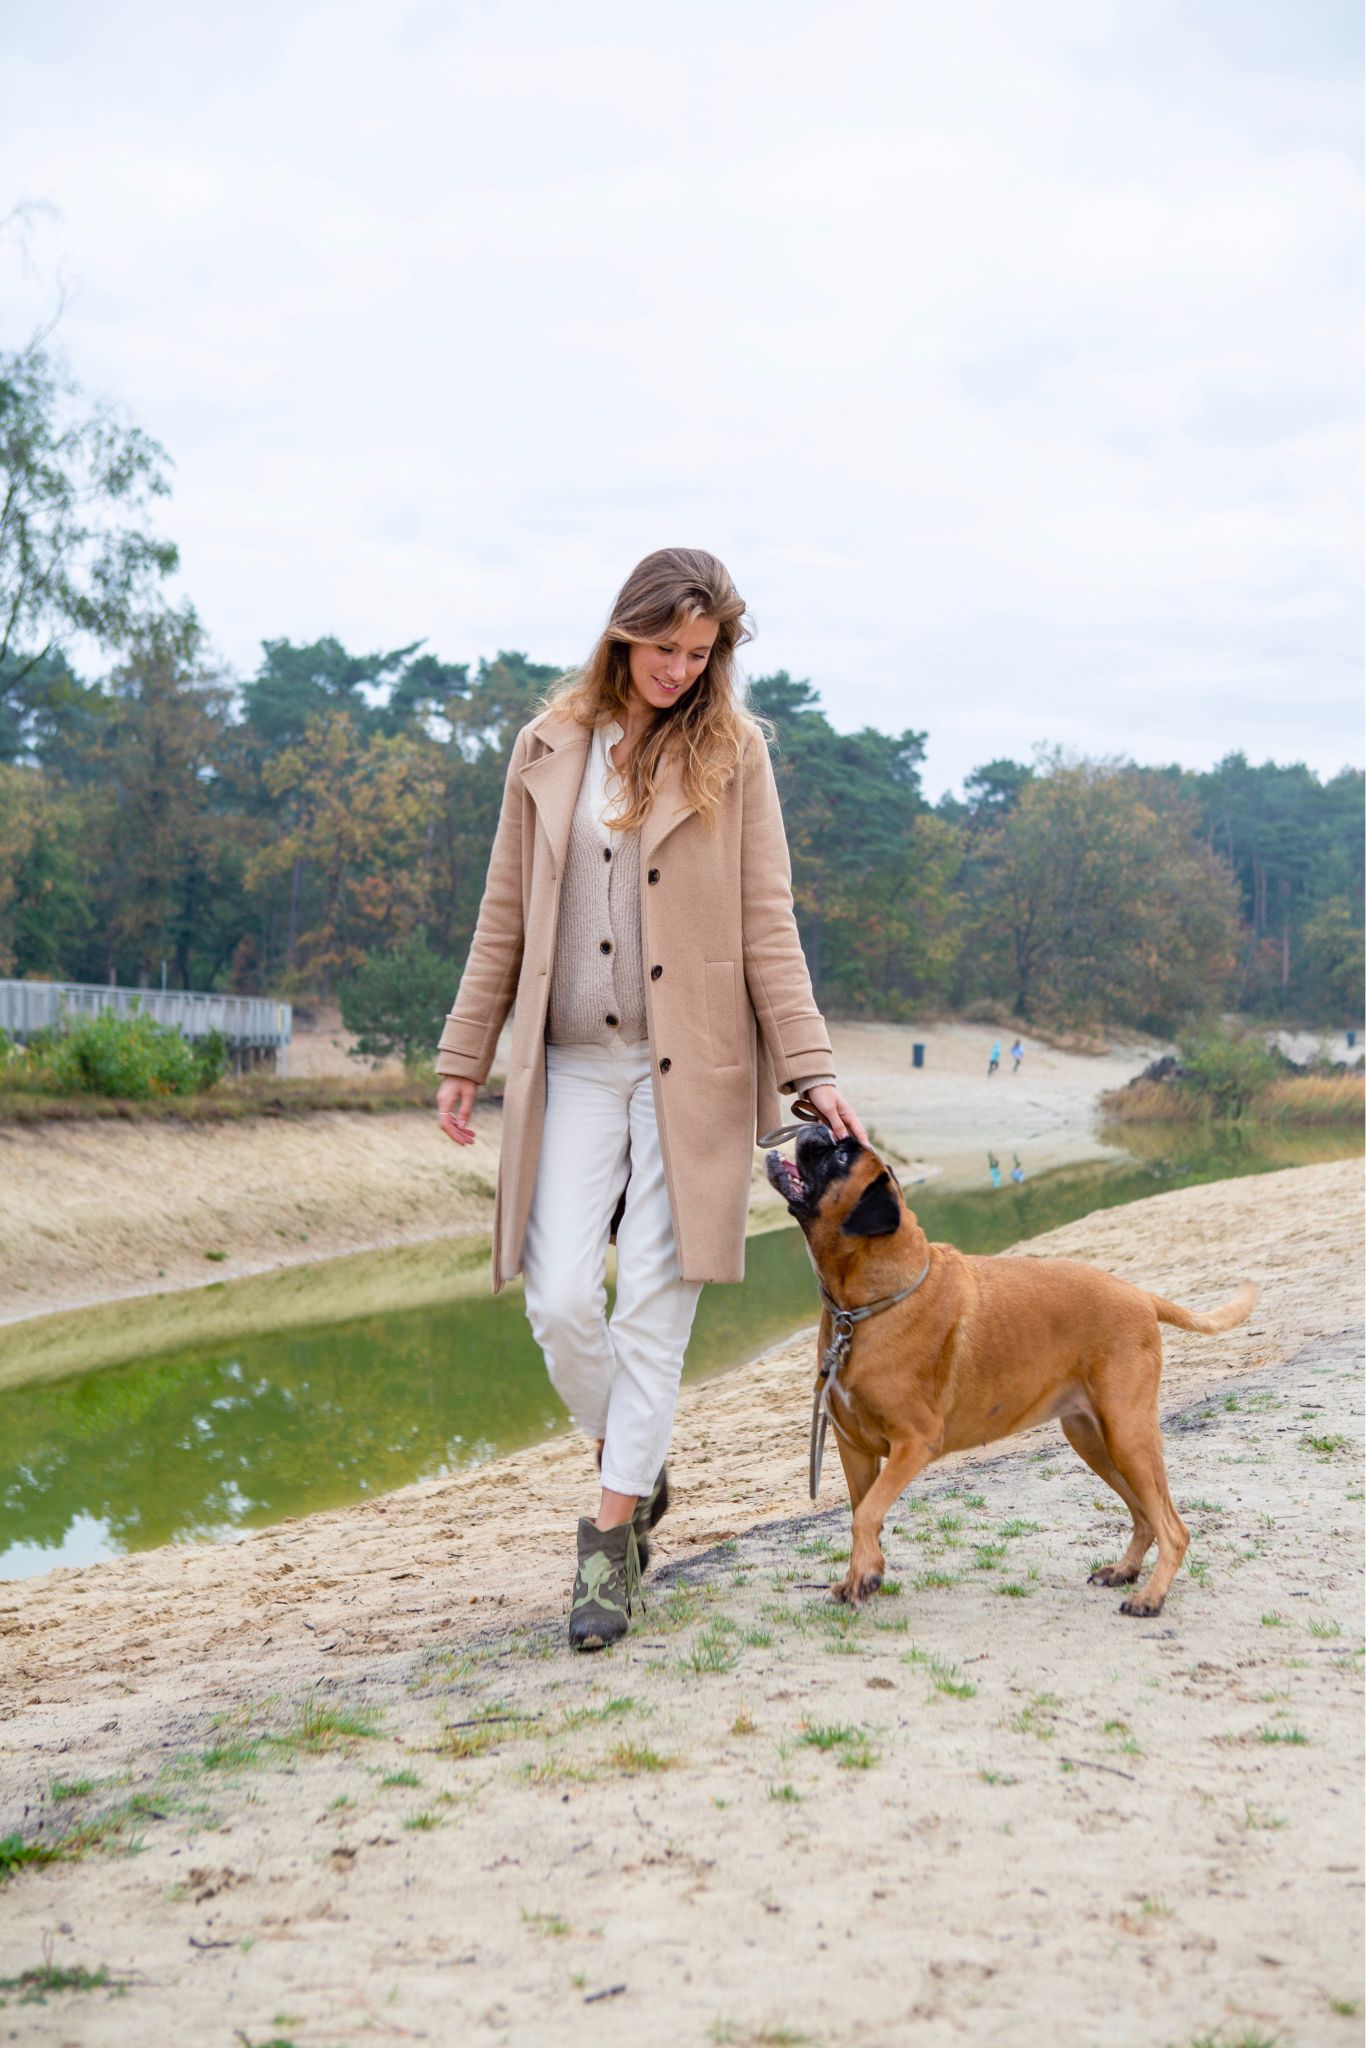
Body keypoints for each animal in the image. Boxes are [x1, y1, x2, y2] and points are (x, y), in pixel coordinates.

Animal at [765, 1122, 1253, 1613]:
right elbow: (864, 1513)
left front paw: (865, 1575)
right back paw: (1125, 1571)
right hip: (1095, 1441)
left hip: (1128, 1436)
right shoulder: (856, 1450)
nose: (814, 1125)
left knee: (1172, 1525)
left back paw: (1150, 1596)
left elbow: (865, 1514)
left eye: (842, 1155)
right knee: (1145, 1515)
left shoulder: (913, 1442)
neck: (865, 1306)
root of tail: (1141, 1296)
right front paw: (860, 1577)